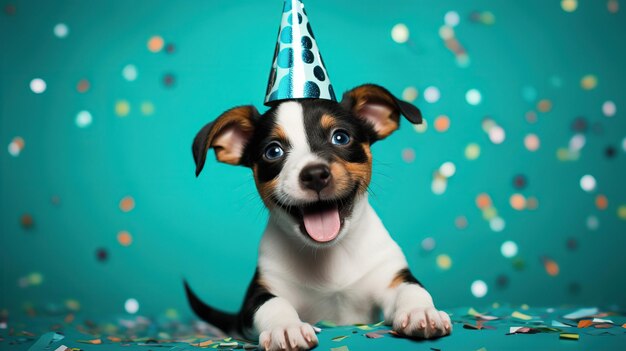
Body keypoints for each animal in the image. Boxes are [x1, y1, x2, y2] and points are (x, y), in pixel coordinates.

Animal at [183, 84, 450, 350]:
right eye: (273, 151)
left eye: (340, 137)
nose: (314, 174)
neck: (330, 255)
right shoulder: (258, 296)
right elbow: (273, 304)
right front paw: (286, 327)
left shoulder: (391, 276)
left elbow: (413, 290)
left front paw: (421, 311)